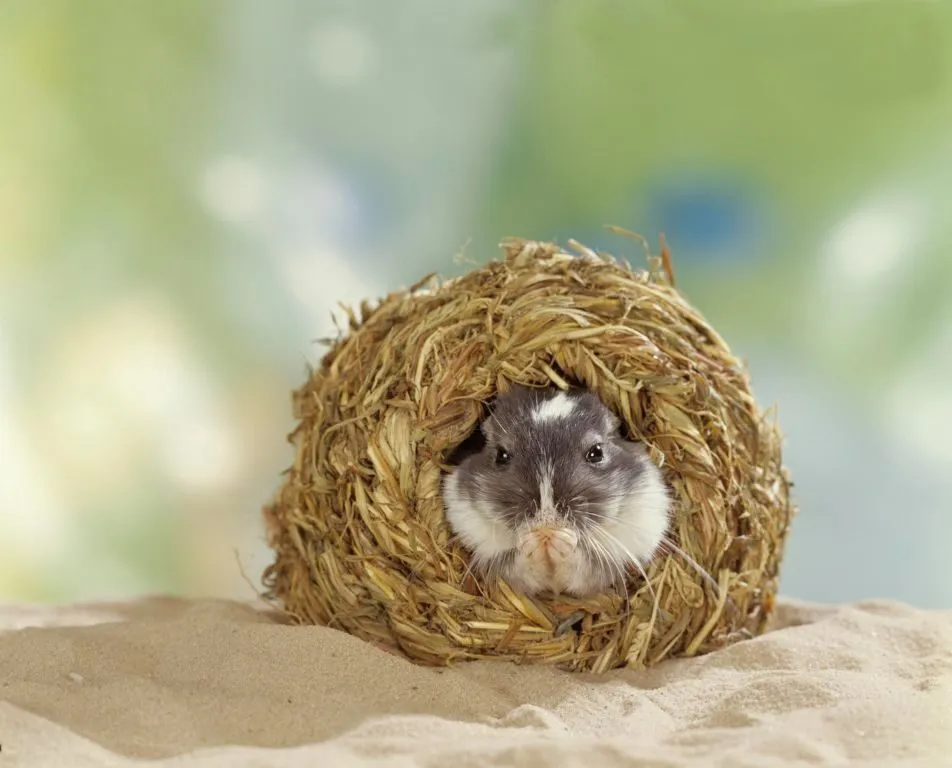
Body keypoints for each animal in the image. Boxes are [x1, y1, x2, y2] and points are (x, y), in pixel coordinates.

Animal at [441, 385, 671, 598]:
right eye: (501, 455)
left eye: (596, 452)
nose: (547, 525)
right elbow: (521, 567)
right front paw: (531, 540)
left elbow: (581, 566)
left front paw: (562, 539)